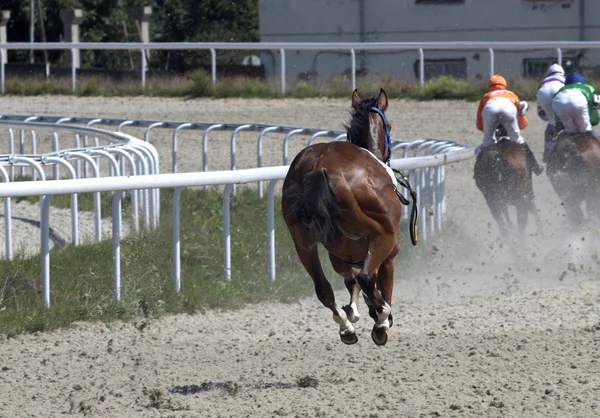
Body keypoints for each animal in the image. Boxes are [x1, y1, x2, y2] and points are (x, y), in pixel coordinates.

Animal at [282, 88, 418, 346]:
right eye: (390, 125)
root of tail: (320, 167)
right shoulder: (387, 255)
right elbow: (378, 283)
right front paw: (381, 317)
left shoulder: (340, 255)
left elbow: (349, 280)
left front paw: (354, 311)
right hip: (384, 237)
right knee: (366, 278)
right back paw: (381, 319)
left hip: (302, 242)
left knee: (323, 288)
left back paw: (346, 328)